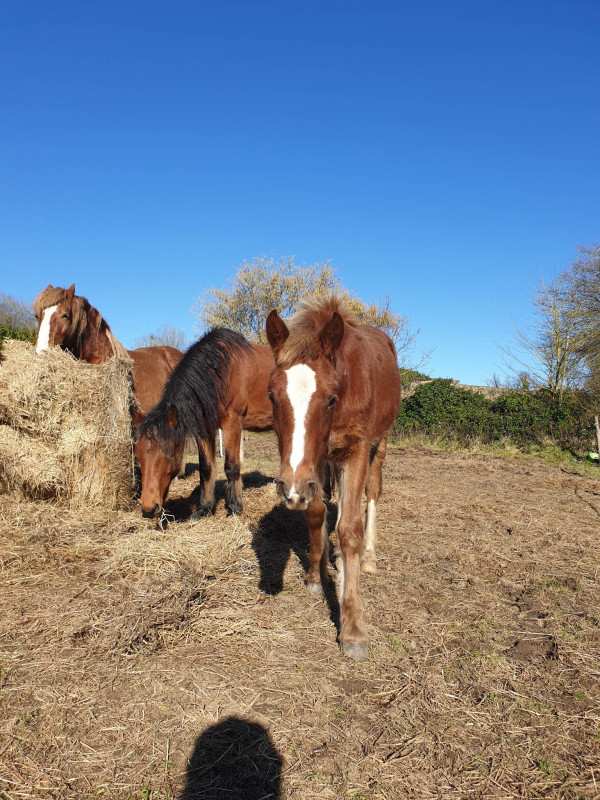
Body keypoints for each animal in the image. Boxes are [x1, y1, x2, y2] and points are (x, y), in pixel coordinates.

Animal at [135, 328, 274, 519]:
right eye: (138, 456)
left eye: (169, 455)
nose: (148, 509)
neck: (220, 372)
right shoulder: (205, 428)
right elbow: (206, 467)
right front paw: (204, 508)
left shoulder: (232, 423)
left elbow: (231, 466)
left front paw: (234, 507)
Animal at [265, 296, 401, 661]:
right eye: (271, 396)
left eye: (330, 398)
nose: (289, 488)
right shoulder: (315, 463)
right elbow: (315, 512)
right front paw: (317, 572)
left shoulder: (354, 451)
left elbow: (350, 528)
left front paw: (353, 628)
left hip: (380, 444)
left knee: (372, 492)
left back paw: (368, 557)